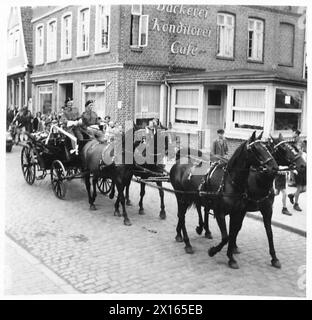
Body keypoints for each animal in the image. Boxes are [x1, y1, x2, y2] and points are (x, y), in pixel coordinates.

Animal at [171, 131, 278, 268]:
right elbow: (226, 237)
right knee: (182, 216)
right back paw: (187, 243)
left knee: (187, 214)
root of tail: (179, 161)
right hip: (181, 197)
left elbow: (233, 234)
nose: (274, 167)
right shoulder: (220, 213)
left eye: (268, 148)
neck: (230, 182)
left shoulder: (238, 213)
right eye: (255, 149)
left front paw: (231, 257)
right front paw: (212, 251)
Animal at [196, 131, 306, 268]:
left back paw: (207, 231)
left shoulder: (266, 210)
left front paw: (274, 258)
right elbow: (235, 230)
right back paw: (203, 229)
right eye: (283, 148)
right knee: (200, 209)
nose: (303, 165)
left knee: (205, 210)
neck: (258, 181)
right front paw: (229, 249)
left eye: (295, 148)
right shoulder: (241, 210)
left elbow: (268, 232)